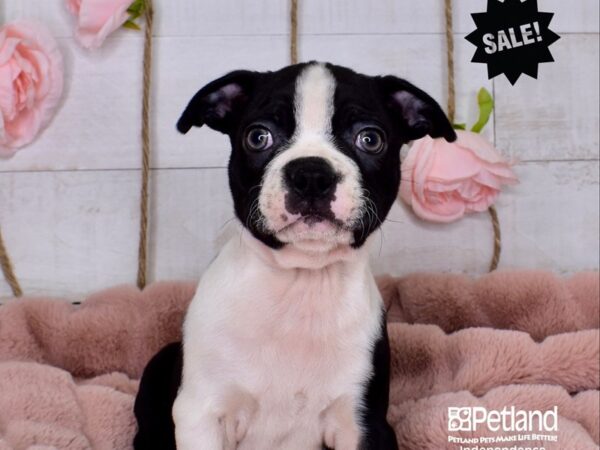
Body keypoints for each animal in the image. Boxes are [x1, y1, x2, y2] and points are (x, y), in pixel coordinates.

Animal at [135, 60, 454, 450]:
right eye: (258, 137)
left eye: (370, 139)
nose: (312, 174)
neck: (302, 282)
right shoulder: (203, 413)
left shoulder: (362, 421)